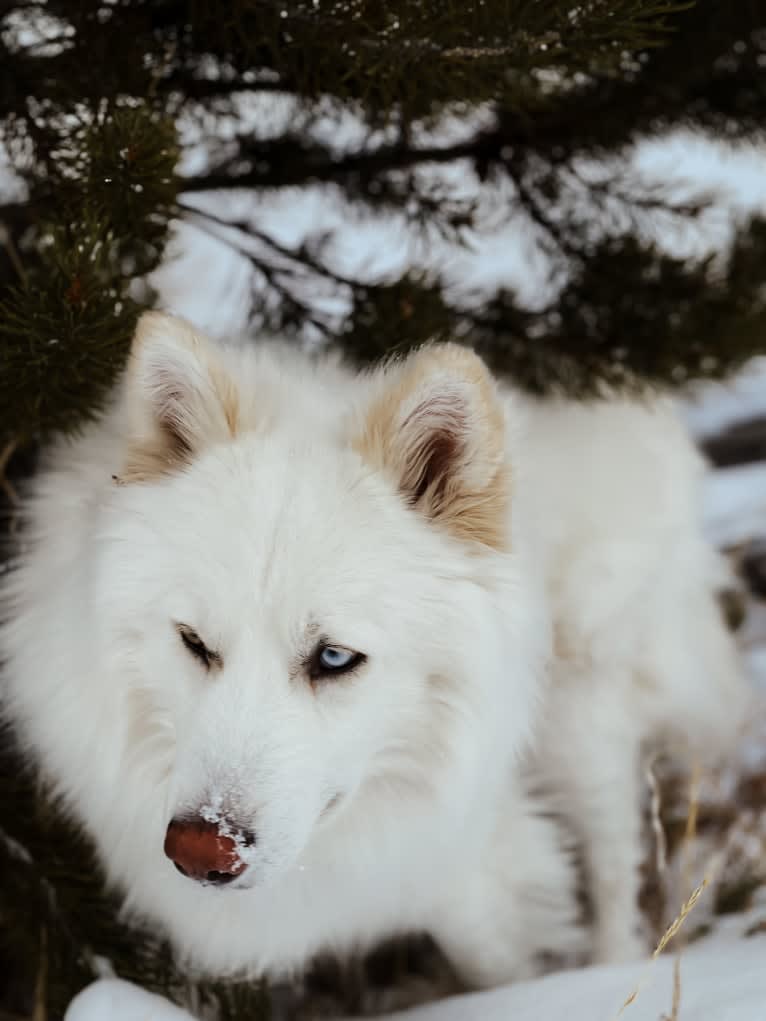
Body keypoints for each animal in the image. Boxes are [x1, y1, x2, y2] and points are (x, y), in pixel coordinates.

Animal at [0, 312, 743, 988]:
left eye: (333, 658)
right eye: (195, 643)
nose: (198, 851)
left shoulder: (471, 871)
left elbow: (499, 968)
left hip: (579, 719)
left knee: (616, 863)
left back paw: (615, 974)